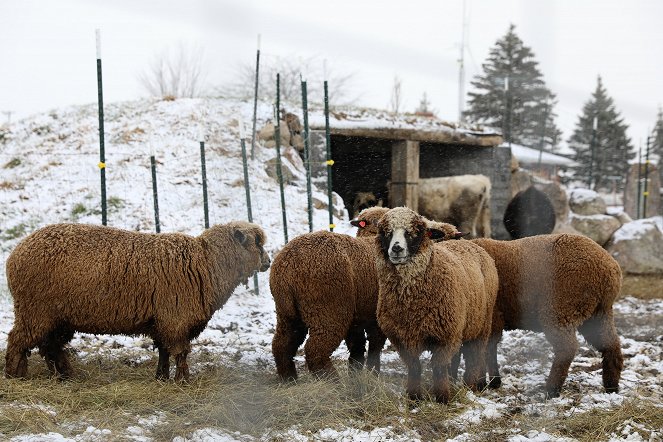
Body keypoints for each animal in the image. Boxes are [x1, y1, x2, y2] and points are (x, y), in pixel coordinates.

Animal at [5, 223, 270, 382]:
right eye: (257, 242)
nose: (268, 261)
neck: (205, 262)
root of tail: (14, 255)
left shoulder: (162, 321)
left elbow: (164, 351)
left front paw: (162, 377)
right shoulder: (175, 319)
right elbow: (181, 352)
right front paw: (183, 380)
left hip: (57, 316)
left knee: (50, 346)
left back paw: (63, 375)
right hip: (35, 310)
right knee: (18, 340)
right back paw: (15, 375)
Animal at [374, 207, 498, 404]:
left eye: (415, 232)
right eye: (386, 232)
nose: (396, 248)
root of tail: (473, 245)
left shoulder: (445, 336)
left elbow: (439, 367)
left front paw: (442, 398)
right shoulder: (401, 338)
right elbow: (414, 367)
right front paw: (414, 397)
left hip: (481, 324)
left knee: (474, 355)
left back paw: (471, 385)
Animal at [472, 235, 624, 398]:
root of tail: (609, 269)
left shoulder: (492, 317)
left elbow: (485, 349)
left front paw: (485, 383)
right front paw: (492, 382)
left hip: (559, 308)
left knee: (567, 348)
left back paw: (551, 390)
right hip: (598, 314)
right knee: (611, 345)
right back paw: (611, 387)